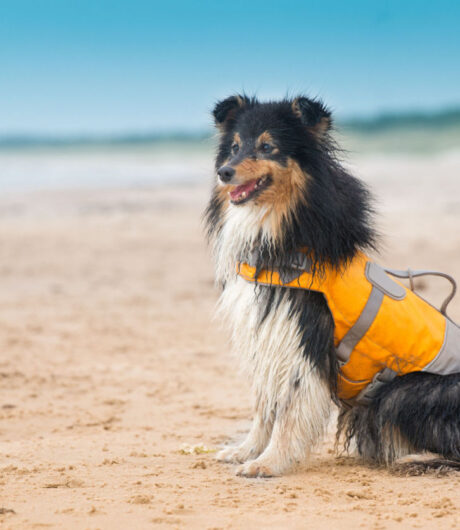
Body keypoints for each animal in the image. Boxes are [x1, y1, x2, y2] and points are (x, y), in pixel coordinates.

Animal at [205, 94, 460, 474]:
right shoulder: (269, 332)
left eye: (267, 146)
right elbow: (264, 404)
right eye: (234, 147)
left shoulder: (302, 336)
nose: (224, 172)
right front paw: (246, 450)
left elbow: (288, 407)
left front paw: (270, 462)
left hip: (400, 392)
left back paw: (416, 457)